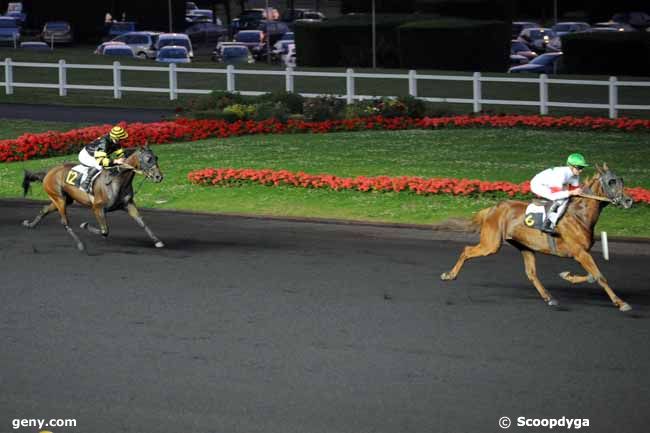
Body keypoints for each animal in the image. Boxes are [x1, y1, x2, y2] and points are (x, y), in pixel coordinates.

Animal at [22, 145, 165, 251]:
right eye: (148, 159)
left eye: (156, 157)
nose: (159, 177)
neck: (117, 180)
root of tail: (49, 171)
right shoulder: (97, 207)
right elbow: (104, 230)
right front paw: (84, 225)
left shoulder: (128, 204)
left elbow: (142, 222)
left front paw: (157, 241)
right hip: (59, 199)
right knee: (65, 222)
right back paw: (80, 244)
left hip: (64, 200)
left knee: (45, 209)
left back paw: (30, 224)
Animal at [438, 163, 632, 310]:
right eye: (611, 181)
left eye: (621, 180)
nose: (629, 200)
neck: (580, 215)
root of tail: (493, 208)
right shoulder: (580, 253)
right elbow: (599, 276)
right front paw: (621, 302)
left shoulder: (582, 253)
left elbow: (592, 276)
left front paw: (567, 275)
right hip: (491, 244)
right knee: (467, 250)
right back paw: (450, 275)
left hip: (525, 246)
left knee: (531, 273)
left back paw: (549, 297)